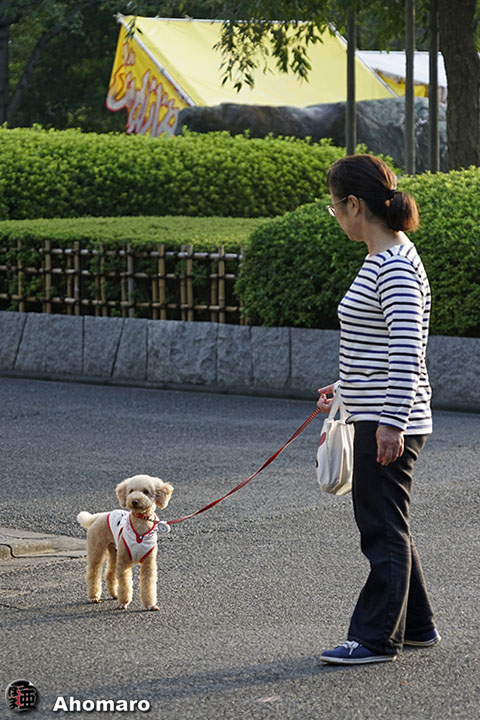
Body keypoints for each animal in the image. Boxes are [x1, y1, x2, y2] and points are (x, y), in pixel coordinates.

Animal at [77, 474, 173, 611]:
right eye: (131, 491)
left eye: (146, 491)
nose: (134, 501)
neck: (140, 527)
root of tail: (98, 516)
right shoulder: (124, 562)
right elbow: (125, 584)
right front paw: (124, 602)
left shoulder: (148, 563)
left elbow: (148, 584)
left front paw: (150, 605)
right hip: (97, 547)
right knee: (93, 572)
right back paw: (94, 596)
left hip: (114, 550)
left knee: (110, 573)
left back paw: (114, 594)